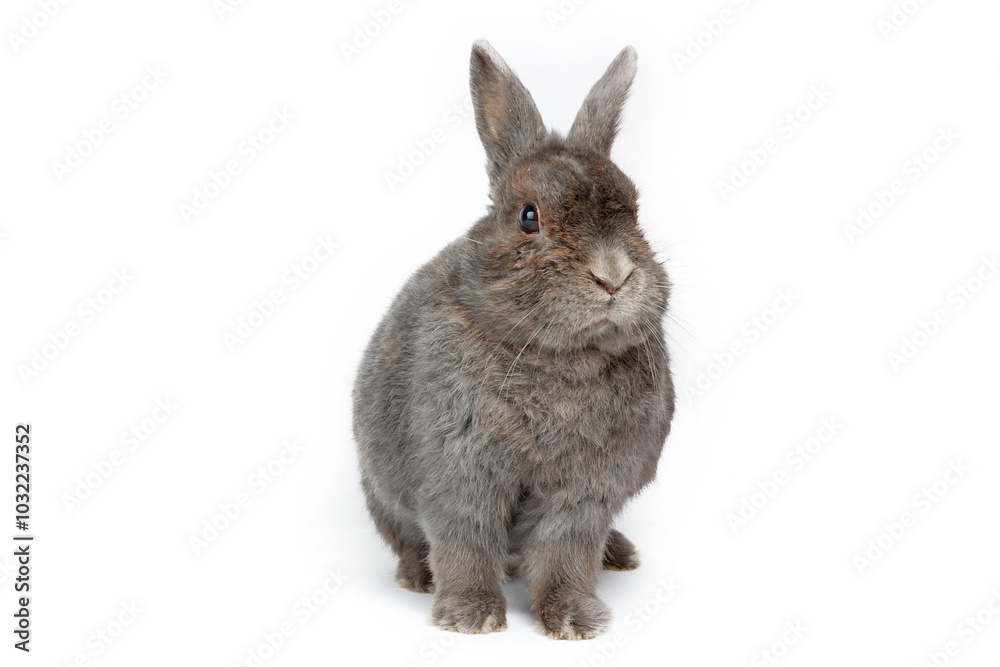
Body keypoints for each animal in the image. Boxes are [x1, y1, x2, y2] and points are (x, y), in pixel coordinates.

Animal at [353, 40, 674, 640]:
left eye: (635, 210)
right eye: (528, 216)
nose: (614, 276)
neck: (557, 358)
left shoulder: (582, 496)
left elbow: (566, 556)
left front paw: (575, 620)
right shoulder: (460, 480)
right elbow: (465, 547)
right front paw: (471, 618)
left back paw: (619, 555)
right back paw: (418, 577)